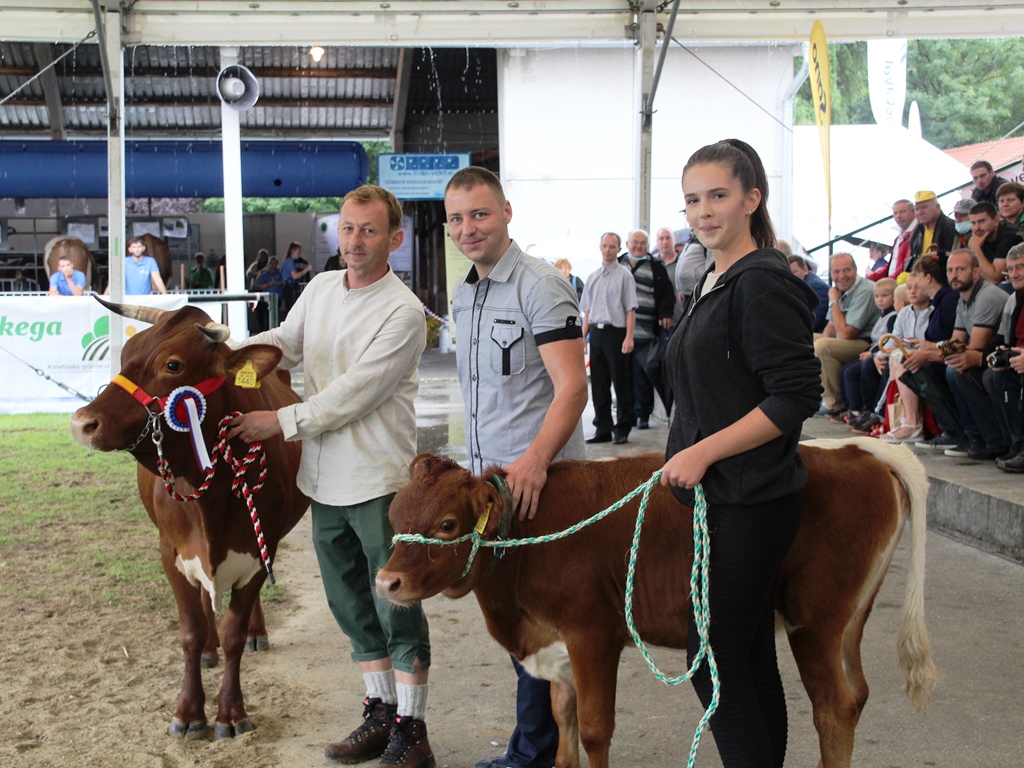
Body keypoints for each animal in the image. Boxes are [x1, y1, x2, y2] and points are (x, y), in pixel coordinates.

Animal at [70, 299, 307, 741]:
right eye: (126, 356)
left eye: (173, 365)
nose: (82, 423)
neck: (208, 496)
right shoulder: (171, 553)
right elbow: (191, 631)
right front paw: (188, 711)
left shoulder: (258, 549)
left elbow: (234, 630)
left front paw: (230, 712)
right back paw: (210, 651)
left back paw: (257, 632)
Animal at [376, 438, 937, 768]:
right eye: (394, 515)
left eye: (447, 524)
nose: (386, 582)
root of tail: (857, 450)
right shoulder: (556, 646)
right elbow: (564, 722)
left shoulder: (592, 635)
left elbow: (595, 730)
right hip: (849, 619)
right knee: (856, 695)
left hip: (814, 621)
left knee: (833, 709)